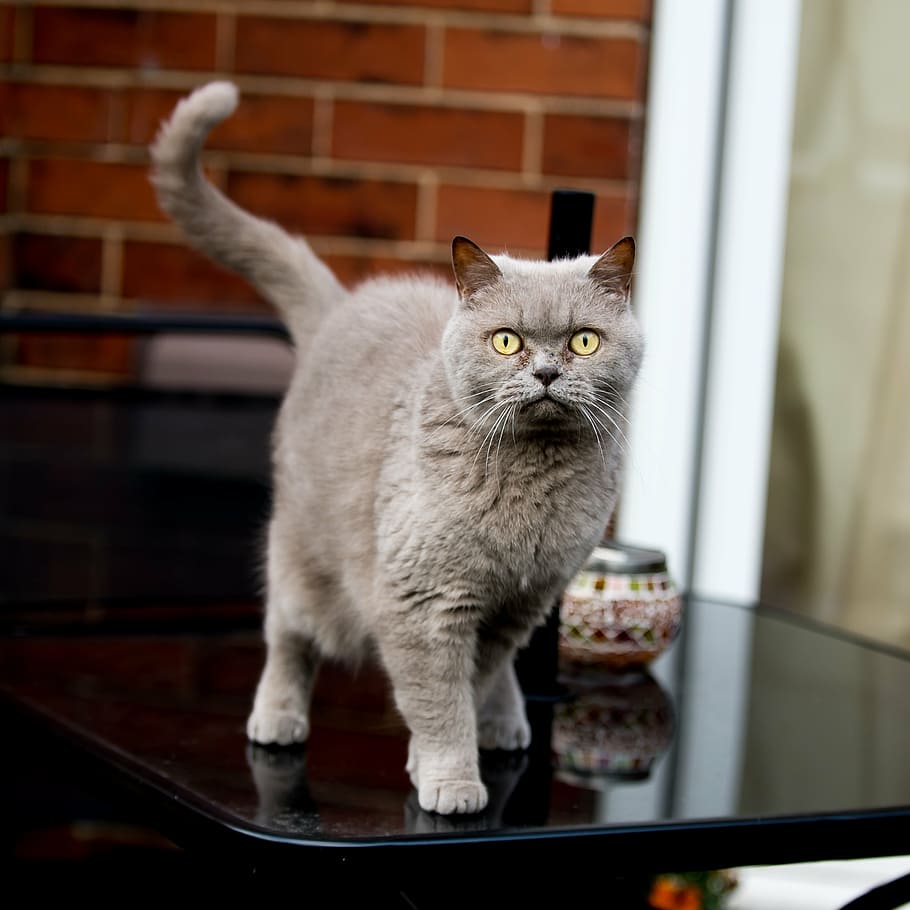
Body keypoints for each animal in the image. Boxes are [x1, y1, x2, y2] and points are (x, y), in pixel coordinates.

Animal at [151, 82, 648, 816]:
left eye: (584, 341)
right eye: (506, 340)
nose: (547, 373)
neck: (533, 485)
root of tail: (339, 308)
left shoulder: (515, 607)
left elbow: (469, 684)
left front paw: (442, 756)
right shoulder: (423, 600)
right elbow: (438, 699)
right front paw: (449, 780)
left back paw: (505, 723)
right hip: (301, 554)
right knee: (286, 637)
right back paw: (277, 716)